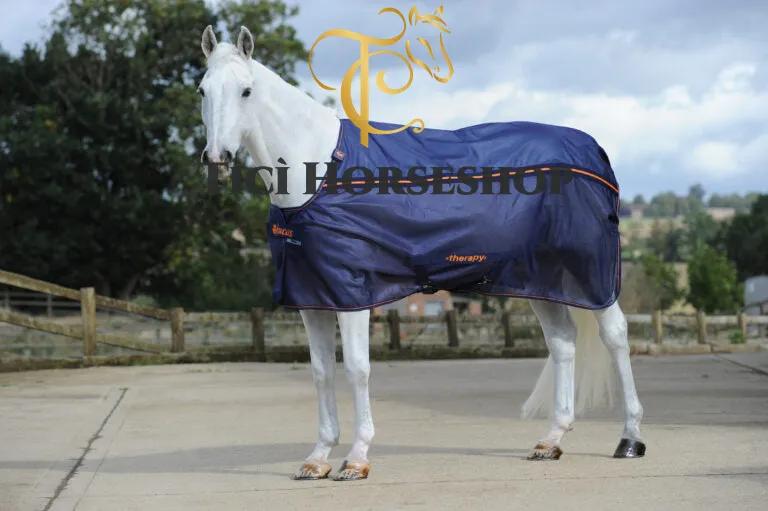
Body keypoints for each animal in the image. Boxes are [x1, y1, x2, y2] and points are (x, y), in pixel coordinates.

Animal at [197, 25, 645, 481]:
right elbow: (322, 373)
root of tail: (594, 152)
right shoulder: (312, 296)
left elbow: (357, 368)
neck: (322, 172)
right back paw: (550, 440)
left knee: (616, 336)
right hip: (538, 280)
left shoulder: (353, 294)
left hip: (591, 273)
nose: (217, 159)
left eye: (246, 91)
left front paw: (356, 458)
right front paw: (317, 458)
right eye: (202, 90)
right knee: (563, 343)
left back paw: (629, 438)